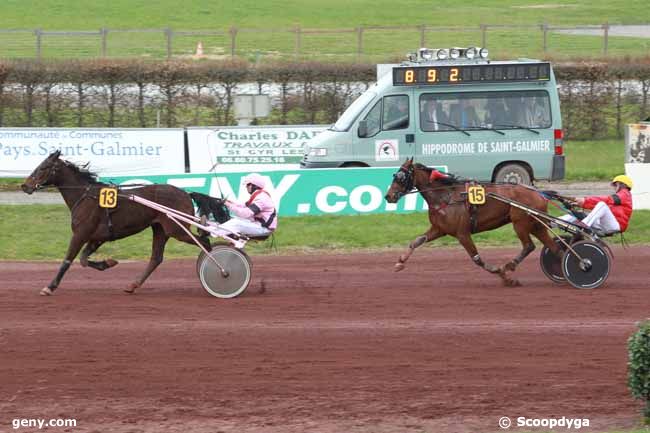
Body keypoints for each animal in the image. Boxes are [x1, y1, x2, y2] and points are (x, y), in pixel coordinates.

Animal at [21, 150, 209, 296]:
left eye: (43, 167)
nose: (25, 185)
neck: (85, 197)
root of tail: (186, 193)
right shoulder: (97, 237)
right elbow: (83, 259)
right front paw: (108, 263)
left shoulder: (80, 234)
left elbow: (68, 260)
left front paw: (49, 287)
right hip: (160, 229)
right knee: (156, 258)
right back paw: (132, 285)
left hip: (177, 229)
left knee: (205, 242)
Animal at [382, 157, 560, 286]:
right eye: (395, 175)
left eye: (401, 177)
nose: (388, 196)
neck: (445, 196)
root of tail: (539, 193)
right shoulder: (439, 229)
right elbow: (417, 241)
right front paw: (400, 262)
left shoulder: (462, 233)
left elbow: (477, 259)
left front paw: (504, 275)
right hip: (536, 225)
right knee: (553, 247)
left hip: (521, 223)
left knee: (529, 246)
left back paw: (509, 265)